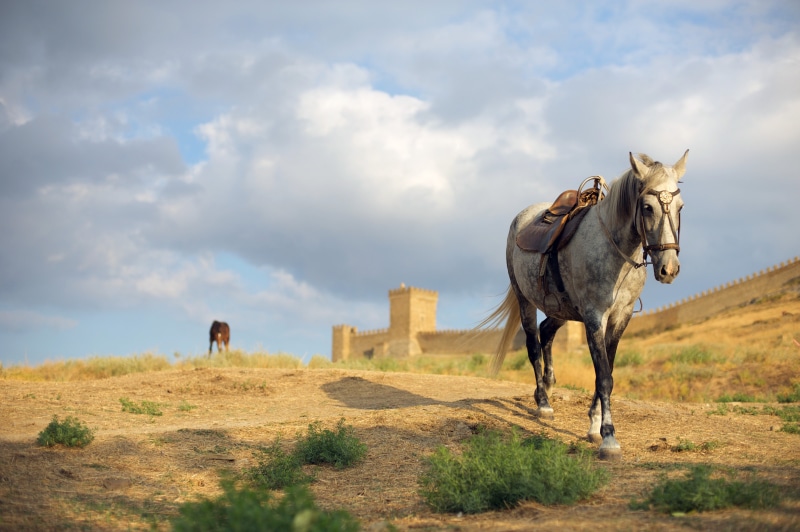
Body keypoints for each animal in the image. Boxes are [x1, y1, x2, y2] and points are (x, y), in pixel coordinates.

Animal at [486, 151, 688, 460]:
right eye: (647, 207)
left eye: (680, 206)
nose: (669, 268)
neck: (615, 251)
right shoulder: (594, 317)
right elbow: (603, 376)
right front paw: (609, 438)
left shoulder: (620, 318)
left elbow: (607, 372)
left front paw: (594, 426)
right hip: (525, 300)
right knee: (533, 345)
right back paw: (543, 402)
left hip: (561, 308)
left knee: (547, 331)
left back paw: (549, 385)